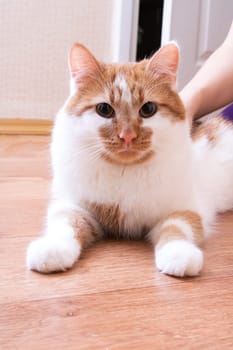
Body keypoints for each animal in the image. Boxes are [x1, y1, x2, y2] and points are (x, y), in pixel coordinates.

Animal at [25, 41, 233, 276]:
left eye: (148, 109)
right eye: (104, 109)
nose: (127, 136)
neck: (124, 171)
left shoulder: (186, 208)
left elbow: (176, 228)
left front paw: (179, 253)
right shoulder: (73, 205)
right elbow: (66, 224)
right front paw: (52, 249)